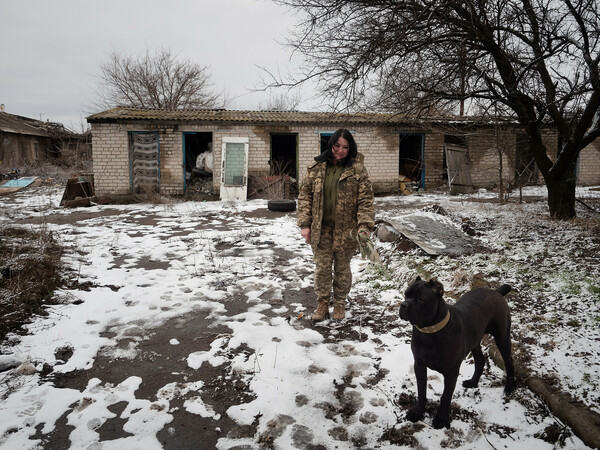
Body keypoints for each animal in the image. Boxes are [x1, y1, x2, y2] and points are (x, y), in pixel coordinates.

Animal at [398, 278, 516, 428]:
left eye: (420, 298)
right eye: (406, 295)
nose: (403, 305)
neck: (429, 331)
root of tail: (496, 292)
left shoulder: (451, 372)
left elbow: (446, 397)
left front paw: (441, 419)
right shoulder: (419, 365)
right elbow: (421, 390)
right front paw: (418, 412)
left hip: (502, 337)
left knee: (509, 361)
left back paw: (509, 387)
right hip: (475, 341)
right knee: (480, 360)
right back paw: (473, 382)